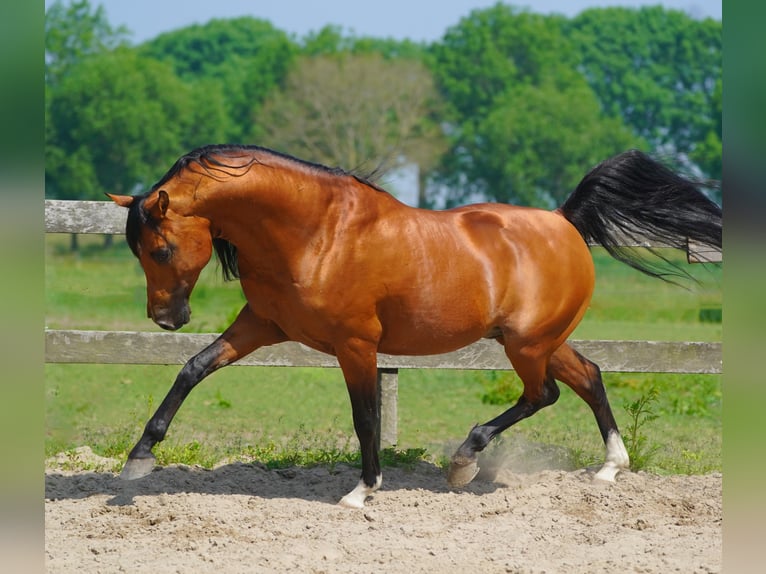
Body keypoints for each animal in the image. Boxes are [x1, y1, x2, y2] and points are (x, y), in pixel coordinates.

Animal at [106, 144, 720, 508]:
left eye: (160, 249)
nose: (166, 318)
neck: (315, 232)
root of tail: (564, 221)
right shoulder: (262, 324)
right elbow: (192, 369)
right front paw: (139, 460)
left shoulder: (356, 343)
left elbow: (366, 416)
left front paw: (362, 491)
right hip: (540, 340)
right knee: (589, 376)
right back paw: (610, 469)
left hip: (528, 344)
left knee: (543, 393)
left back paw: (466, 461)